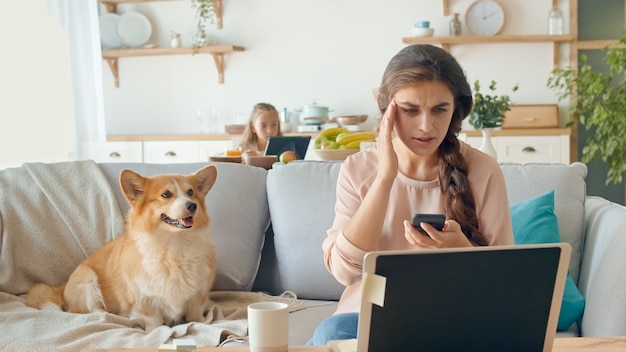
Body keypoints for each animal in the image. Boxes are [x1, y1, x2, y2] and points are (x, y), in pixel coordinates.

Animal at [25, 166, 218, 332]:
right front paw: (155, 331)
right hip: (87, 279)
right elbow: (154, 321)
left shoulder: (198, 295)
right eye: (166, 194)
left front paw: (203, 322)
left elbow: (195, 316)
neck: (174, 245)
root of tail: (62, 286)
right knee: (89, 311)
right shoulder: (143, 299)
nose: (192, 205)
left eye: (191, 192)